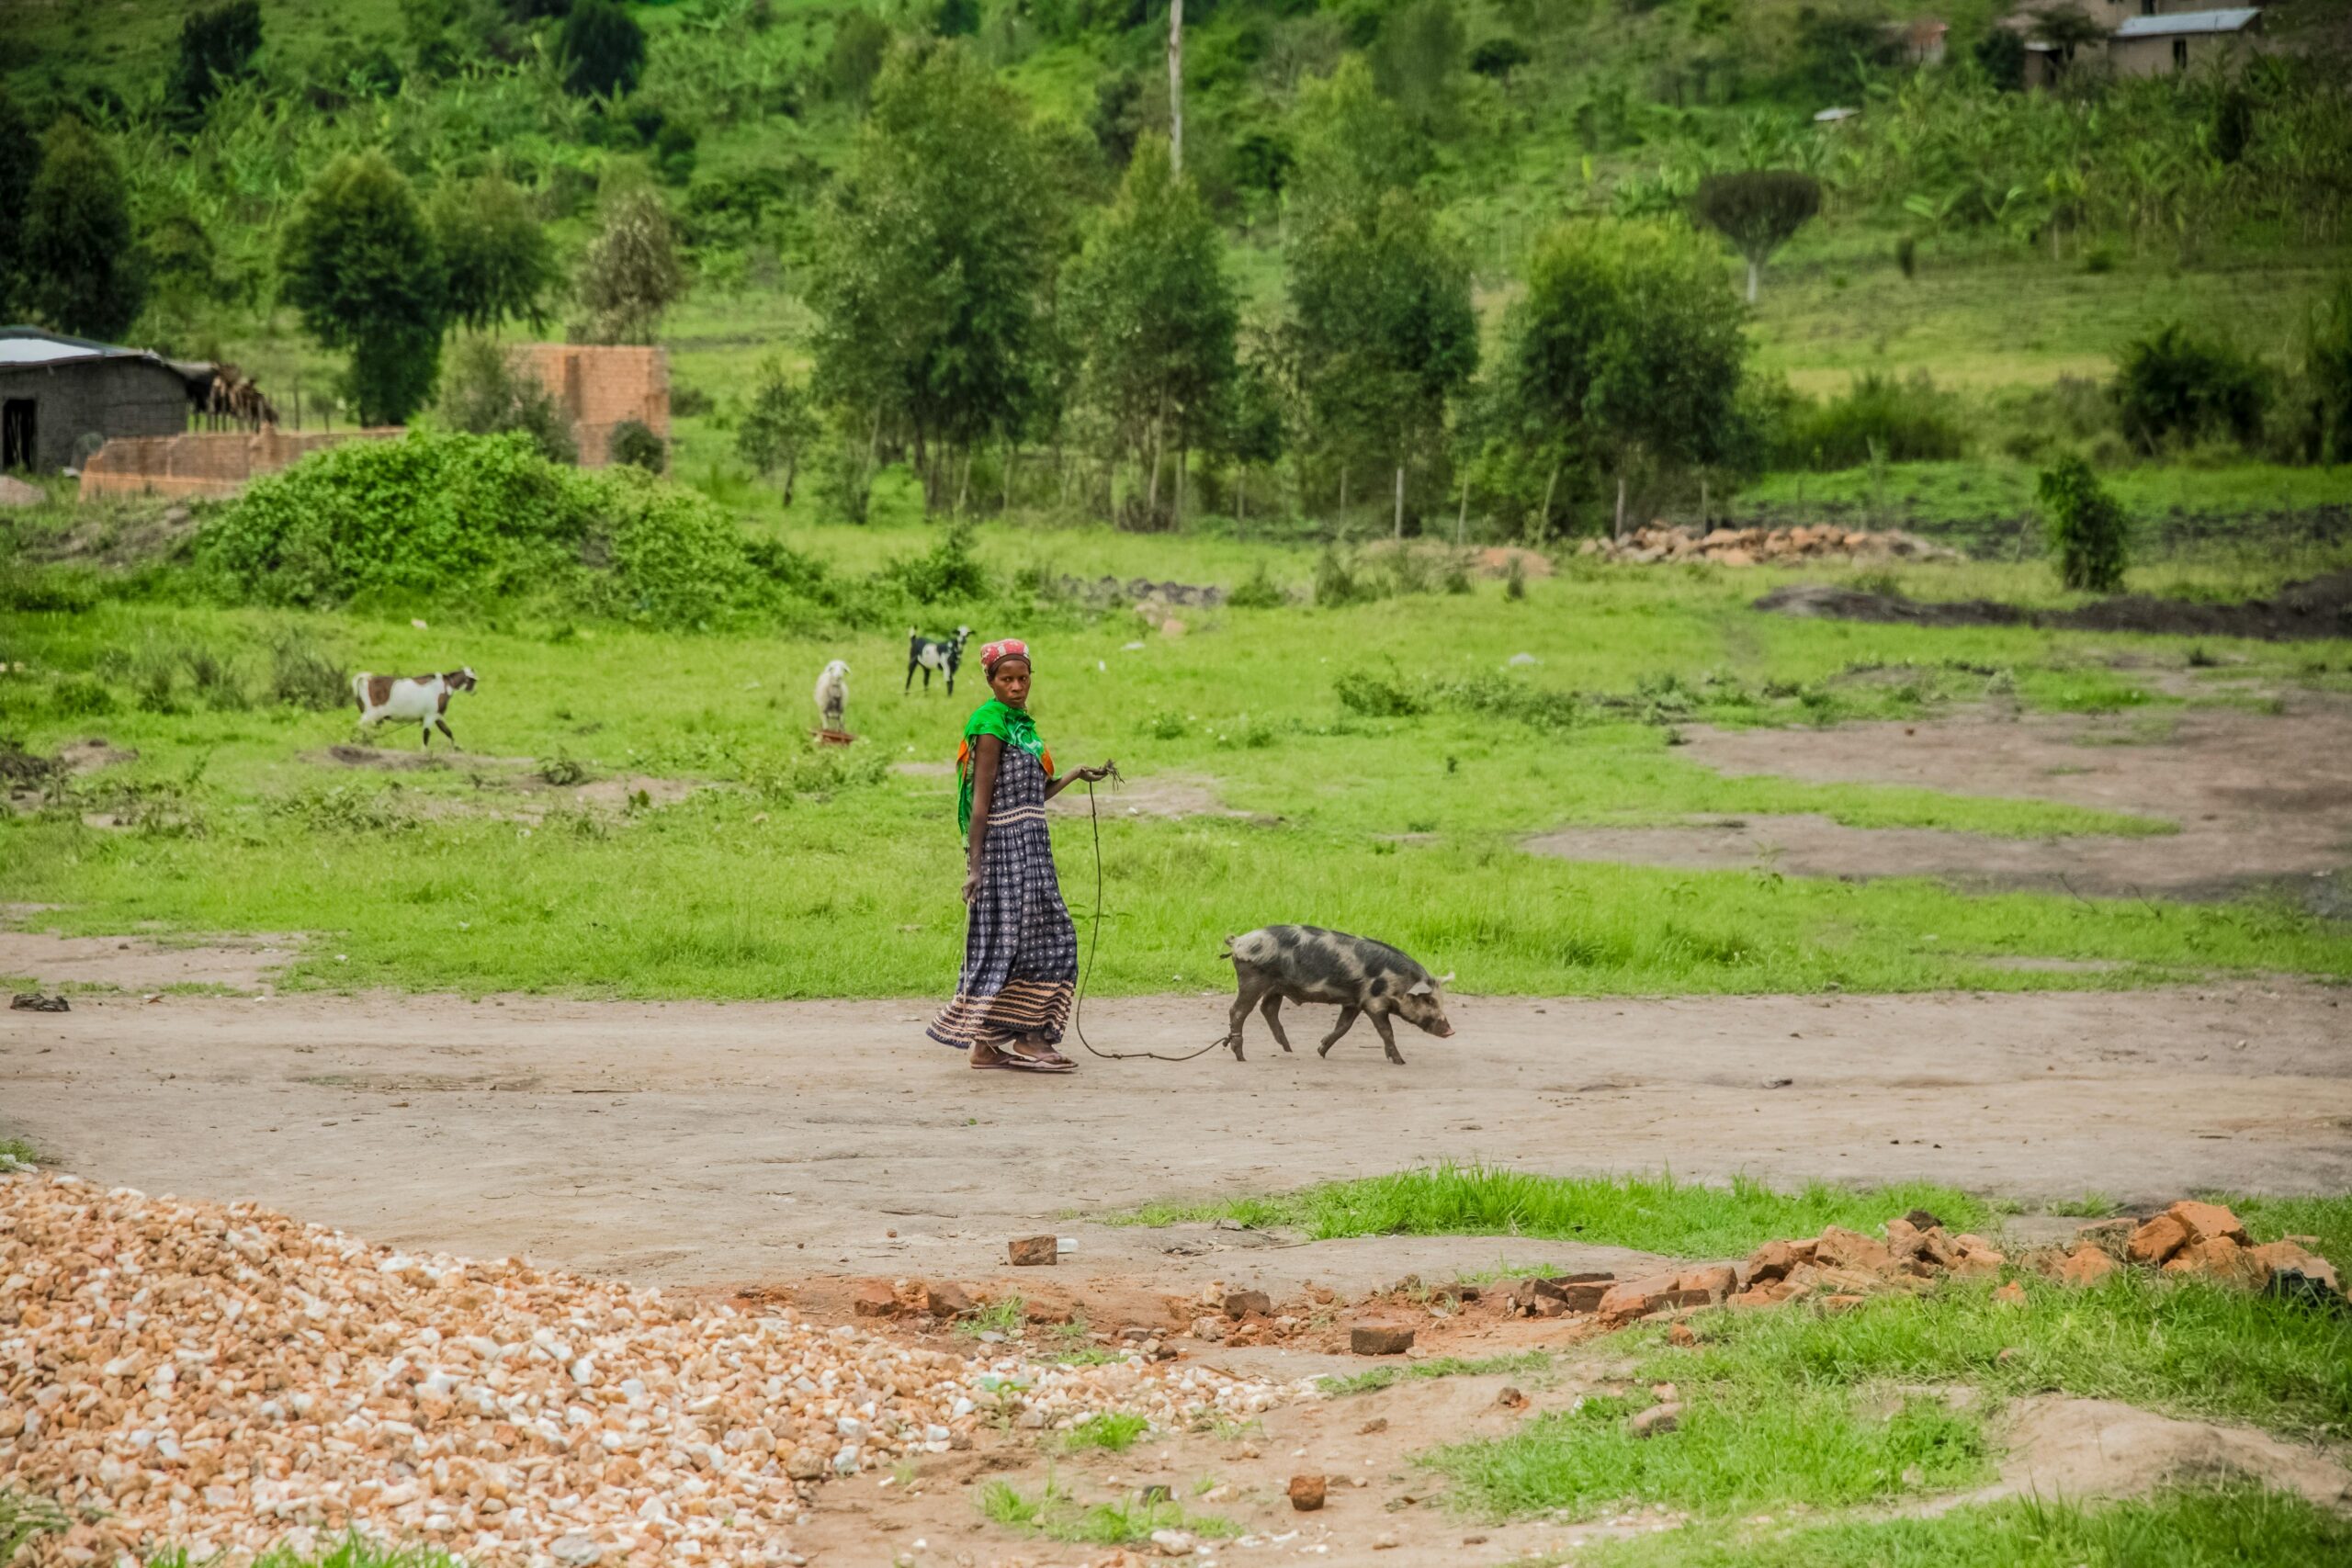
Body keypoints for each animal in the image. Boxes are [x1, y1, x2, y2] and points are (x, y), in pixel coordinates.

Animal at [350, 667, 475, 751]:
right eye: (474, 681)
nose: (475, 692)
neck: (446, 684)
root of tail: (366, 680)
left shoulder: (437, 716)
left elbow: (448, 731)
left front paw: (457, 747)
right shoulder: (430, 715)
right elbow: (426, 734)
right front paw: (424, 752)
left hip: (375, 717)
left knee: (366, 730)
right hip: (371, 713)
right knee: (358, 726)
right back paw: (354, 742)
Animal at [1232, 921, 1448, 1066]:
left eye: (1439, 1000)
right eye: (1428, 1000)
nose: (1450, 1030)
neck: (1396, 981)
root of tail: (1237, 942)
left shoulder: (1354, 1002)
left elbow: (1343, 1026)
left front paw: (1320, 1051)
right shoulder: (1374, 1002)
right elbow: (1386, 1031)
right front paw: (1400, 1061)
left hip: (1276, 987)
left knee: (1268, 1008)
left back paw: (1288, 1049)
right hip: (1253, 980)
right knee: (1238, 1011)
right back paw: (1241, 1056)